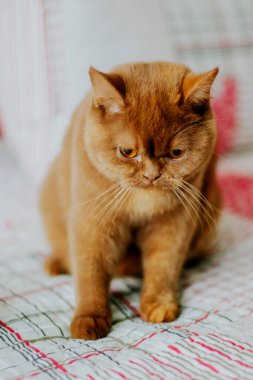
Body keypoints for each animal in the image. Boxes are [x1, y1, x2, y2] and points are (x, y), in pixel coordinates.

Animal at [39, 60, 221, 340]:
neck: (141, 202)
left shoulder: (173, 224)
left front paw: (159, 305)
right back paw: (55, 263)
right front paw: (89, 319)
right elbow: (90, 272)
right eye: (127, 151)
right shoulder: (93, 224)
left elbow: (163, 266)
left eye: (176, 152)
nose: (151, 175)